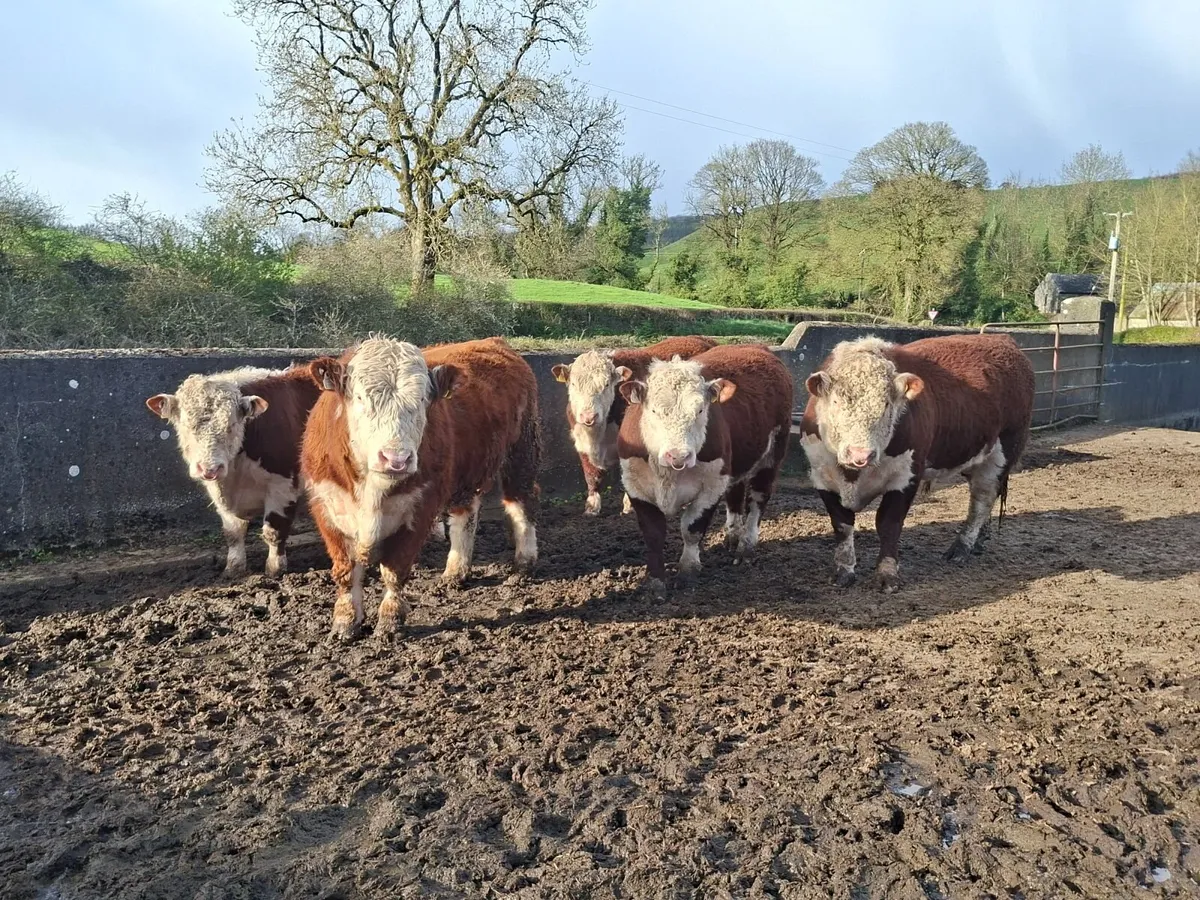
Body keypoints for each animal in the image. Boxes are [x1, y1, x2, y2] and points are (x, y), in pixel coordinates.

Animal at [145, 365, 320, 577]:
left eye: (231, 425)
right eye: (186, 425)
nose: (210, 468)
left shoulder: (283, 484)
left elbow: (274, 531)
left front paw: (274, 569)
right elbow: (233, 533)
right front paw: (234, 567)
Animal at [301, 336, 541, 640]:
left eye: (422, 400)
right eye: (360, 398)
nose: (396, 459)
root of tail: (495, 341)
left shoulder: (420, 508)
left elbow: (394, 571)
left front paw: (389, 621)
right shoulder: (327, 506)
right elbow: (346, 572)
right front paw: (345, 622)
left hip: (522, 451)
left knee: (521, 503)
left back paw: (524, 563)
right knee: (466, 514)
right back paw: (455, 572)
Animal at [551, 336, 716, 515]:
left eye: (606, 384)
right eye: (573, 384)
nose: (589, 416)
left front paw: (629, 505)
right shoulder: (582, 443)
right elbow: (591, 475)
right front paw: (591, 507)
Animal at [616, 344, 793, 597]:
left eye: (700, 410)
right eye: (653, 411)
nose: (678, 455)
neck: (668, 473)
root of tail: (755, 346)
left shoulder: (713, 485)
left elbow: (692, 528)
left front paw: (688, 572)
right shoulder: (635, 485)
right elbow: (653, 534)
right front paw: (655, 582)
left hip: (773, 454)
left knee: (758, 501)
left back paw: (745, 548)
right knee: (735, 496)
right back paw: (732, 536)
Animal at [799, 334, 1035, 593]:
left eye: (886, 405)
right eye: (836, 402)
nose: (861, 454)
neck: (853, 475)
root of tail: (1002, 338)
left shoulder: (907, 476)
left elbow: (889, 524)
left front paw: (887, 575)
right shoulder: (822, 477)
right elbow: (842, 525)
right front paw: (844, 571)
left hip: (1004, 451)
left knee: (982, 500)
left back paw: (962, 548)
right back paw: (980, 541)